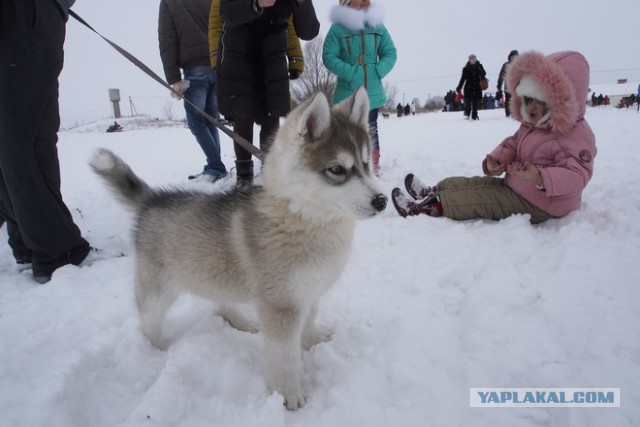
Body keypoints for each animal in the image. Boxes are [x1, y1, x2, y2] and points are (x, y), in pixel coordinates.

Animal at [91, 88, 384, 412]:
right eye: (337, 170)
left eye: (366, 164)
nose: (382, 200)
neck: (301, 218)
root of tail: (153, 199)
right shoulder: (281, 305)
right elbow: (284, 357)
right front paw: (288, 394)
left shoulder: (309, 292)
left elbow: (308, 320)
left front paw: (311, 338)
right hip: (158, 291)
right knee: (148, 322)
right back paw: (153, 352)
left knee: (220, 301)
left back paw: (241, 321)